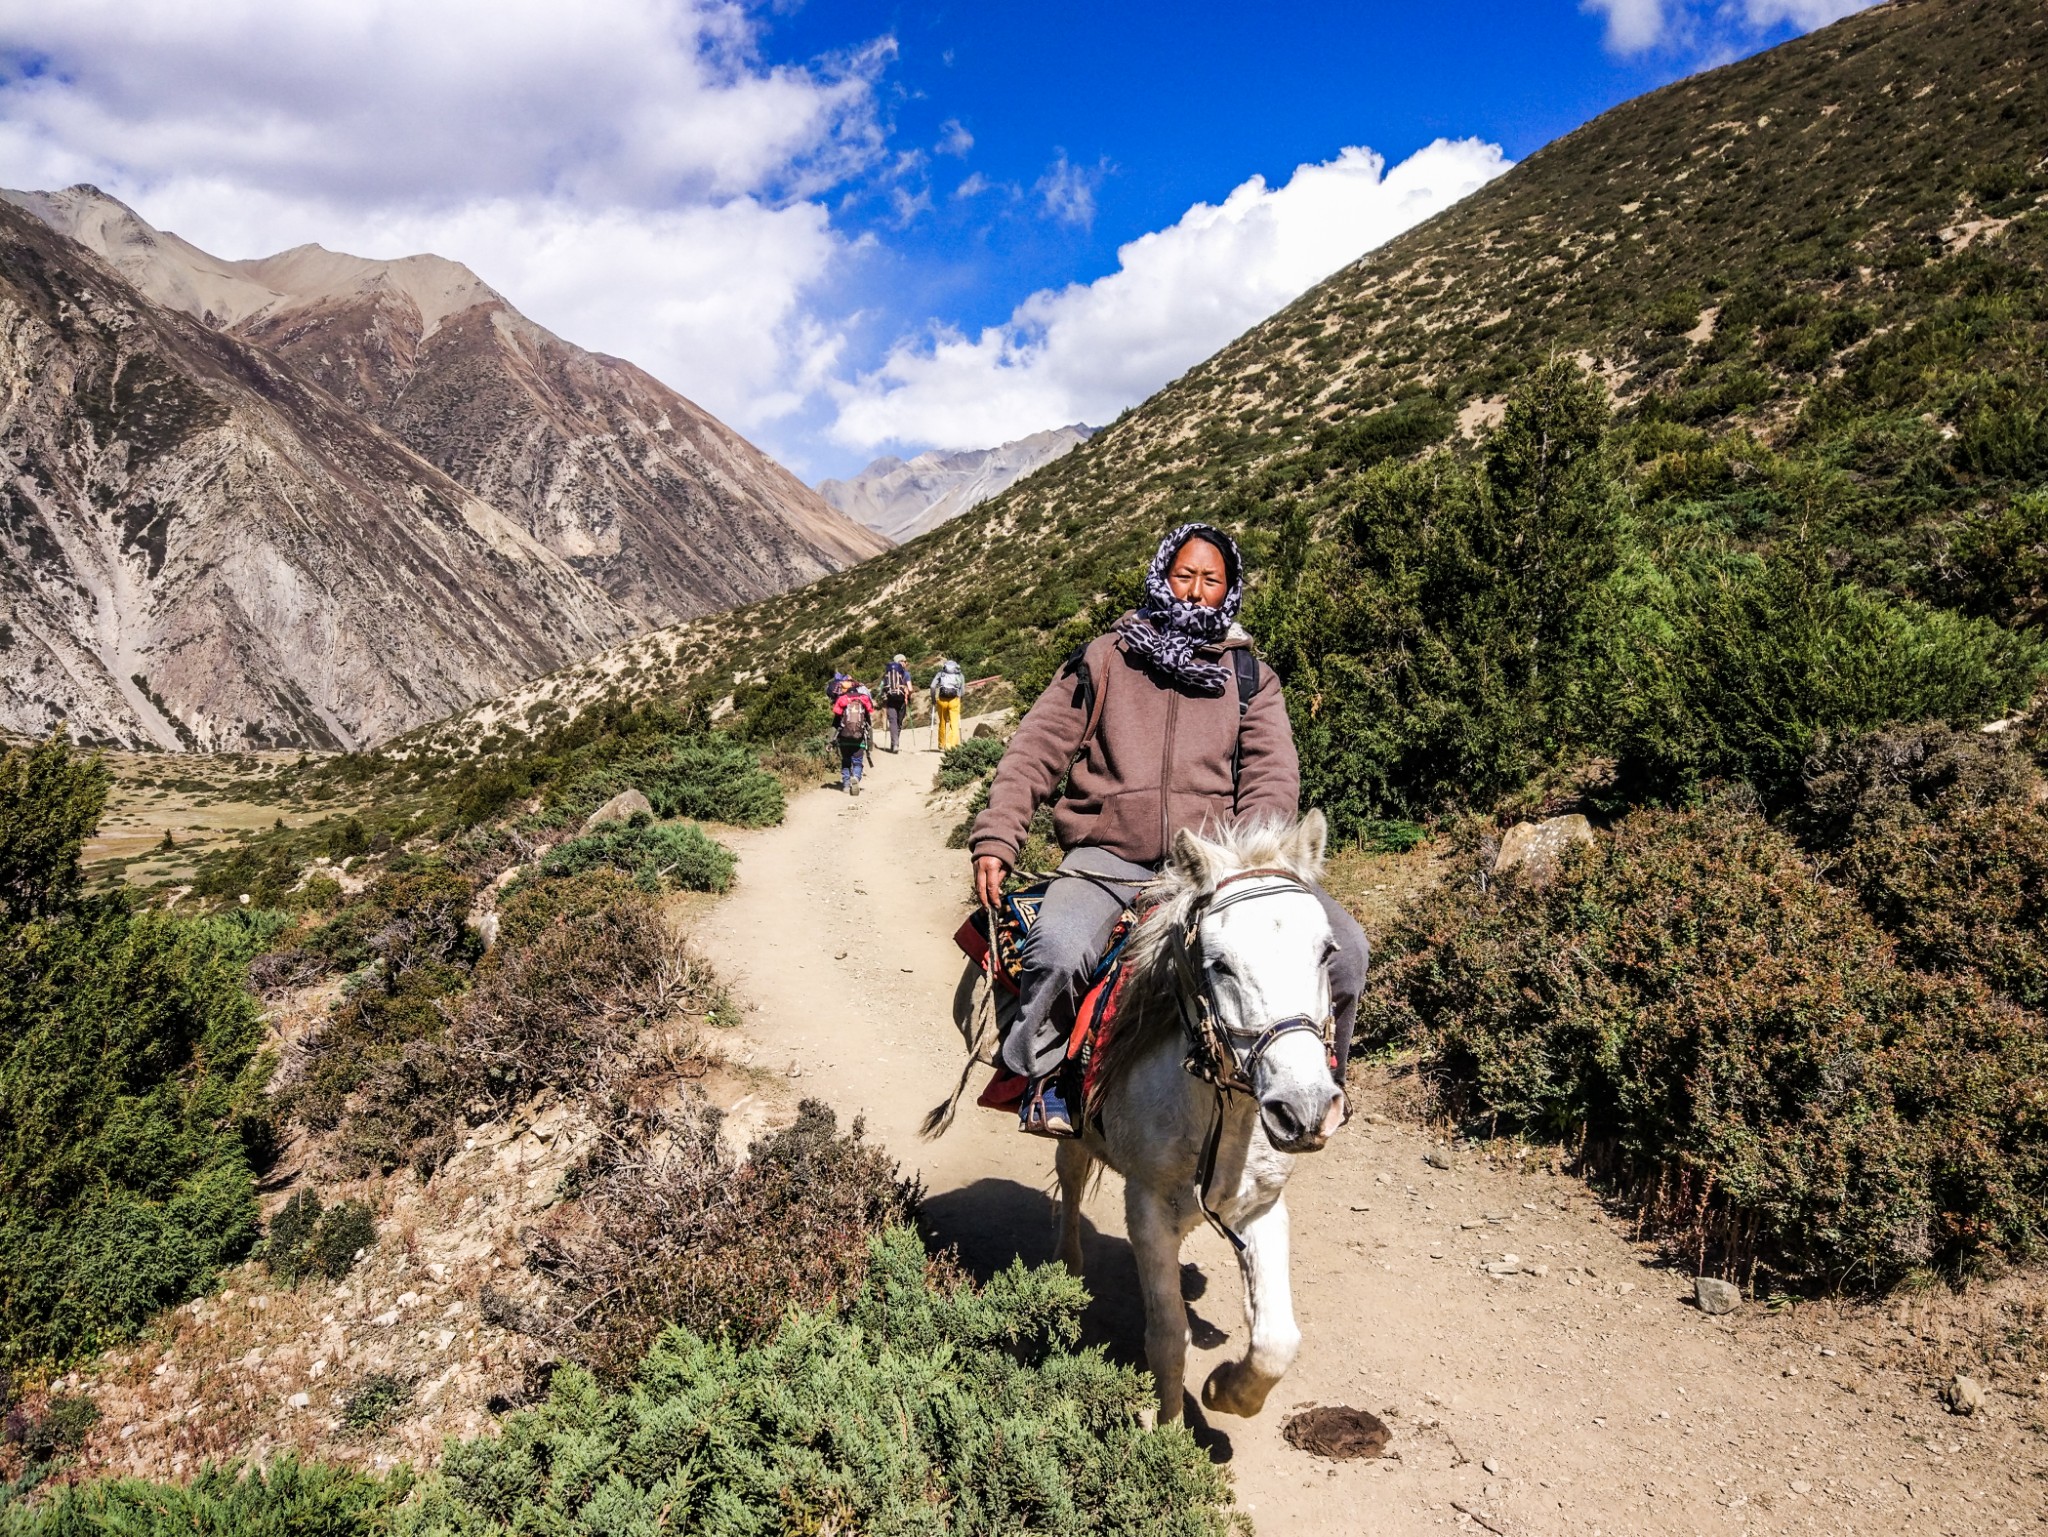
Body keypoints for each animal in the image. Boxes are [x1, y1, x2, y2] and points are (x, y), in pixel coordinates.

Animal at [1056, 811, 1343, 1426]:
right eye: (1220, 965)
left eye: (1327, 953)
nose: (1305, 1110)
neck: (1223, 1120)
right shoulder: (1147, 1209)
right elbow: (1167, 1338)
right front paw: (1169, 1435)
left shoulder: (1263, 1207)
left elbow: (1277, 1341)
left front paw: (1224, 1391)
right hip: (1071, 1132)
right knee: (1070, 1179)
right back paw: (1067, 1270)